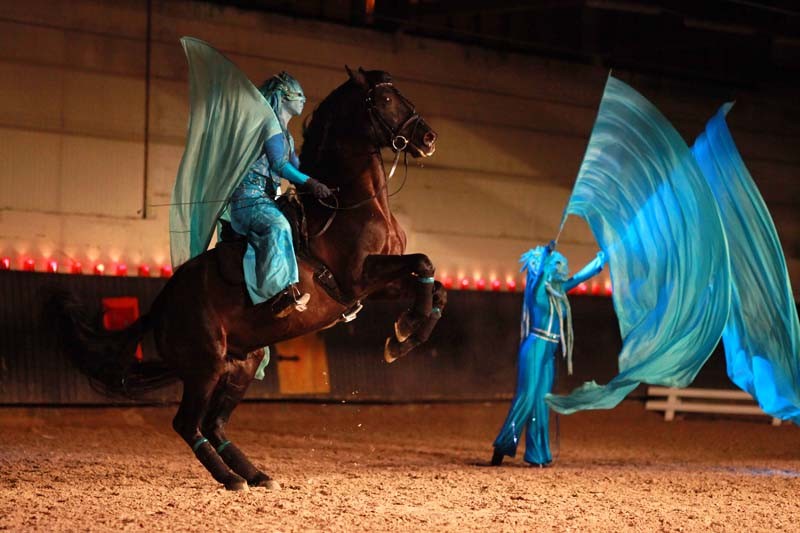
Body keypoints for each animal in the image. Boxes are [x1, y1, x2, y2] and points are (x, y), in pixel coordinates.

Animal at [50, 65, 446, 486]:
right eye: (385, 99)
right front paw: (404, 335)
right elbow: (424, 263)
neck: (349, 202)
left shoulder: (375, 285)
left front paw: (405, 334)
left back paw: (256, 475)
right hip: (206, 366)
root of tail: (161, 303)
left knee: (215, 425)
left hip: (241, 365)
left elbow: (434, 284)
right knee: (187, 424)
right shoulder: (357, 275)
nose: (428, 138)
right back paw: (231, 479)